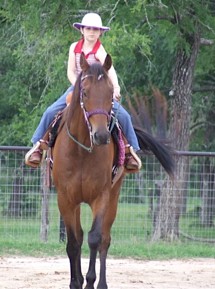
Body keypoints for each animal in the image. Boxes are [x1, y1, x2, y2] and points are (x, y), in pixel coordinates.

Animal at [52, 52, 175, 288]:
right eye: (85, 91)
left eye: (110, 94)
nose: (101, 135)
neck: (82, 149)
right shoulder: (66, 198)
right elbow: (73, 242)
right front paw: (75, 282)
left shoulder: (102, 196)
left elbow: (95, 238)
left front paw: (90, 281)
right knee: (79, 236)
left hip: (114, 196)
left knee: (105, 240)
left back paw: (101, 283)